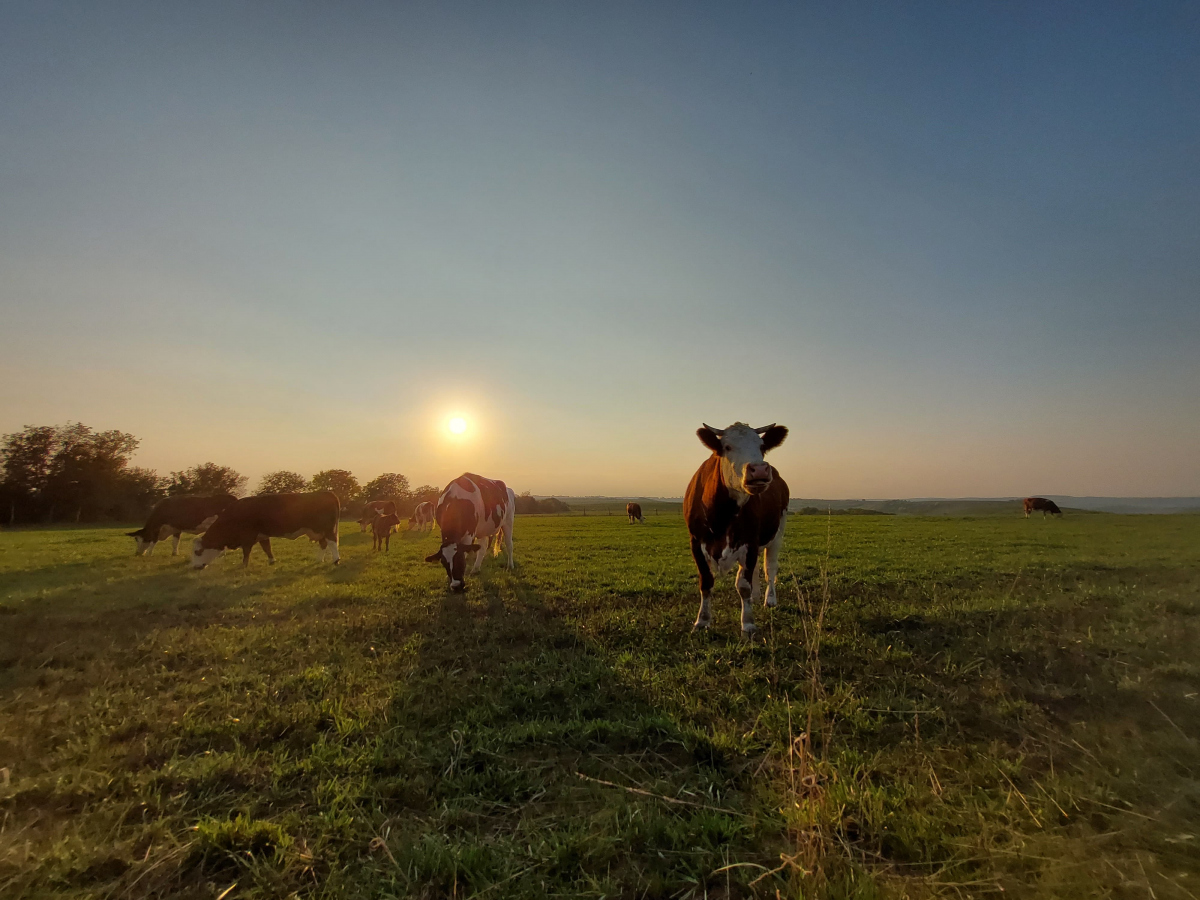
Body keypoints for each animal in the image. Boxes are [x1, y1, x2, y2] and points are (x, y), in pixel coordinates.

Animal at [189, 494, 343, 571]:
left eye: (198, 552)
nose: (195, 567)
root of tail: (327, 493)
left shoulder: (247, 537)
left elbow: (246, 551)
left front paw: (243, 565)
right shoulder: (262, 535)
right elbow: (266, 548)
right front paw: (271, 560)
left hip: (327, 529)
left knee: (332, 542)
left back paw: (336, 560)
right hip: (319, 531)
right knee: (323, 544)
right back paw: (319, 560)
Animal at [686, 427, 787, 638]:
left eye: (762, 446)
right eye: (727, 447)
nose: (759, 469)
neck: (721, 514)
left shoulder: (750, 542)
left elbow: (743, 585)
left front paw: (748, 623)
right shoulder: (696, 543)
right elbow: (706, 582)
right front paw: (702, 621)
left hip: (778, 532)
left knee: (770, 568)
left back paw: (770, 599)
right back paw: (757, 597)